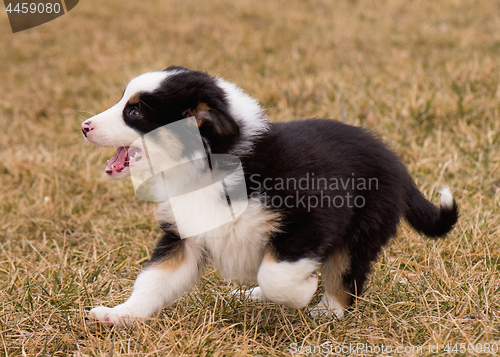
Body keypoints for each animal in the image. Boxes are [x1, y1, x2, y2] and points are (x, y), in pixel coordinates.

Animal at [81, 65, 458, 326]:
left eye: (135, 111)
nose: (84, 126)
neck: (208, 165)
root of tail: (397, 164)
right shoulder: (183, 236)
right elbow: (153, 280)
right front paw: (119, 314)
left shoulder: (311, 217)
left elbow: (276, 274)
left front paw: (303, 291)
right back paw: (254, 295)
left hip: (361, 230)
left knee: (344, 279)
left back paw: (326, 310)